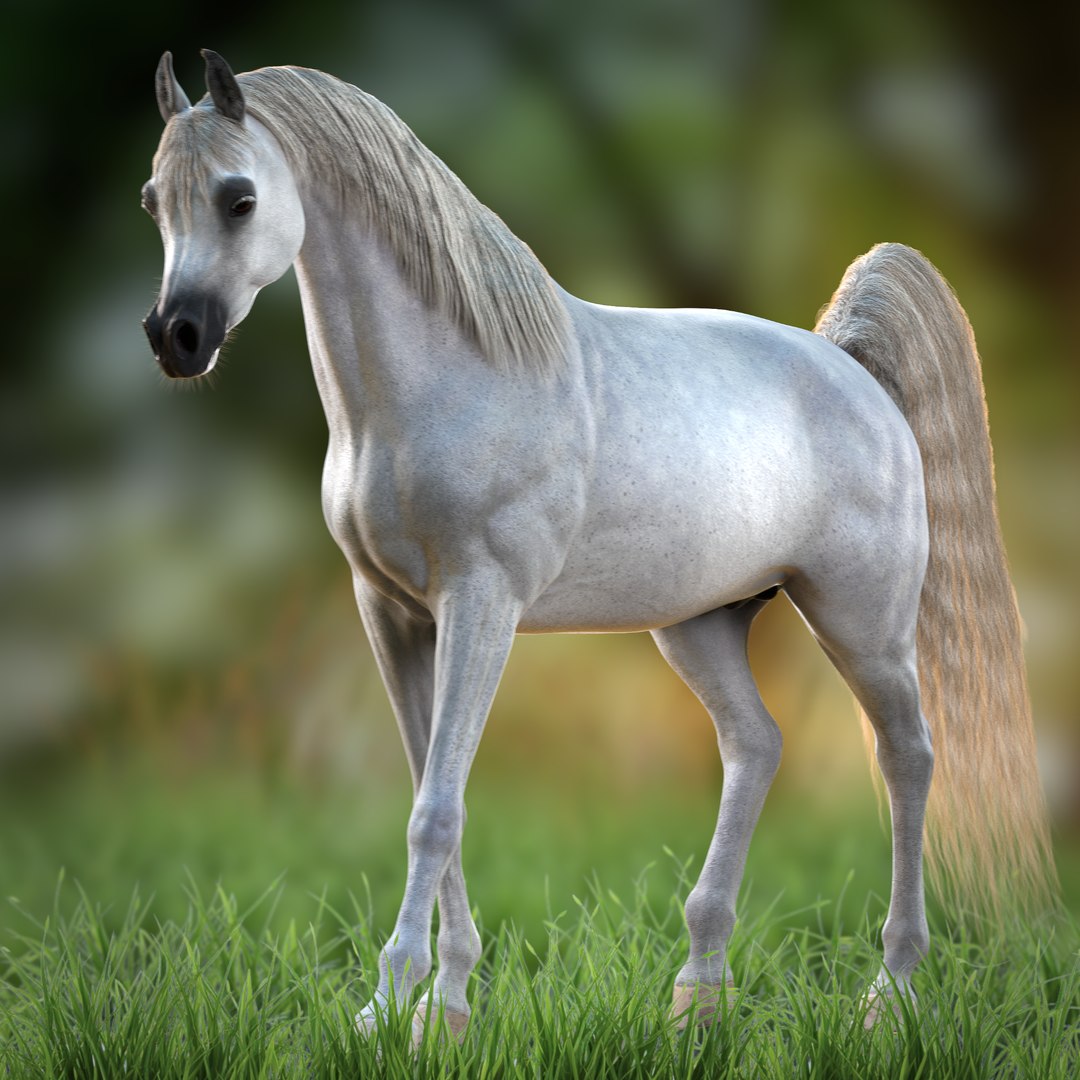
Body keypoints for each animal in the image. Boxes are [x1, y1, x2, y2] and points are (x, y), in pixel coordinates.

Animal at [142, 50, 1055, 1040]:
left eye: (239, 197)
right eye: (154, 201)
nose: (176, 337)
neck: (447, 381)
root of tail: (854, 371)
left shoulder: (482, 605)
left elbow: (435, 810)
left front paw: (386, 1008)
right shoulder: (391, 613)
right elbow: (436, 793)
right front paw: (444, 1010)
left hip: (863, 625)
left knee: (908, 758)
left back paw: (890, 992)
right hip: (699, 625)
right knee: (758, 745)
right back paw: (697, 995)